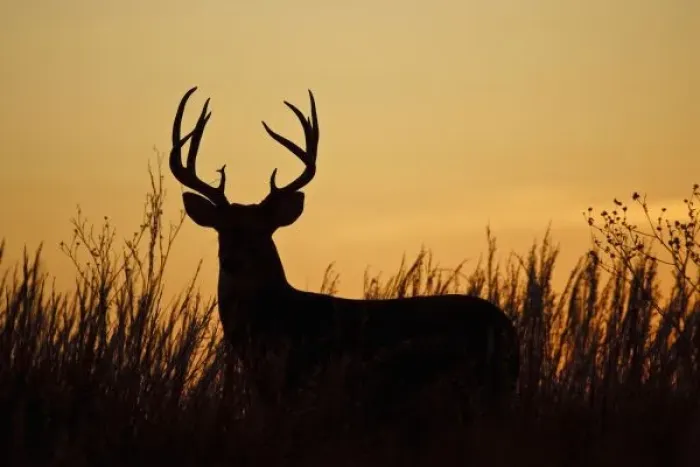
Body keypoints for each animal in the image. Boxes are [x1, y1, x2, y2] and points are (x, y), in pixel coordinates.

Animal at [169, 86, 519, 423]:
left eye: (262, 230)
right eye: (222, 229)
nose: (232, 260)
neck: (278, 316)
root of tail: (506, 327)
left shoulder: (299, 379)